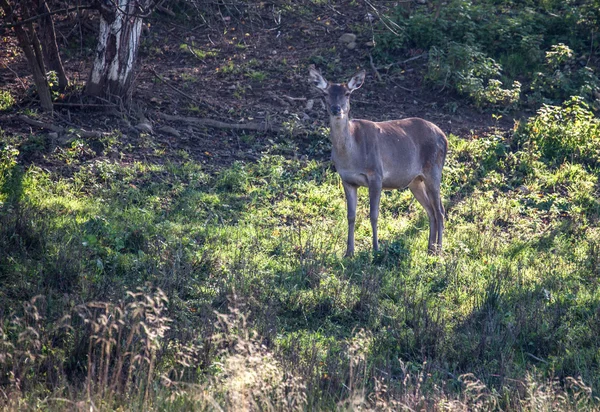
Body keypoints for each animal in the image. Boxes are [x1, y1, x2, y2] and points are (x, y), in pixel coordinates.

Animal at [310, 65, 446, 256]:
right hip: (415, 180)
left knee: (440, 210)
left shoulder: (376, 174)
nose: (336, 109)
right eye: (325, 93)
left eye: (347, 94)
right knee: (431, 210)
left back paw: (438, 250)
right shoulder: (347, 180)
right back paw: (430, 249)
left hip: (434, 169)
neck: (351, 156)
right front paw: (349, 252)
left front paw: (376, 249)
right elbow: (351, 216)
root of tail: (444, 137)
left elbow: (373, 214)